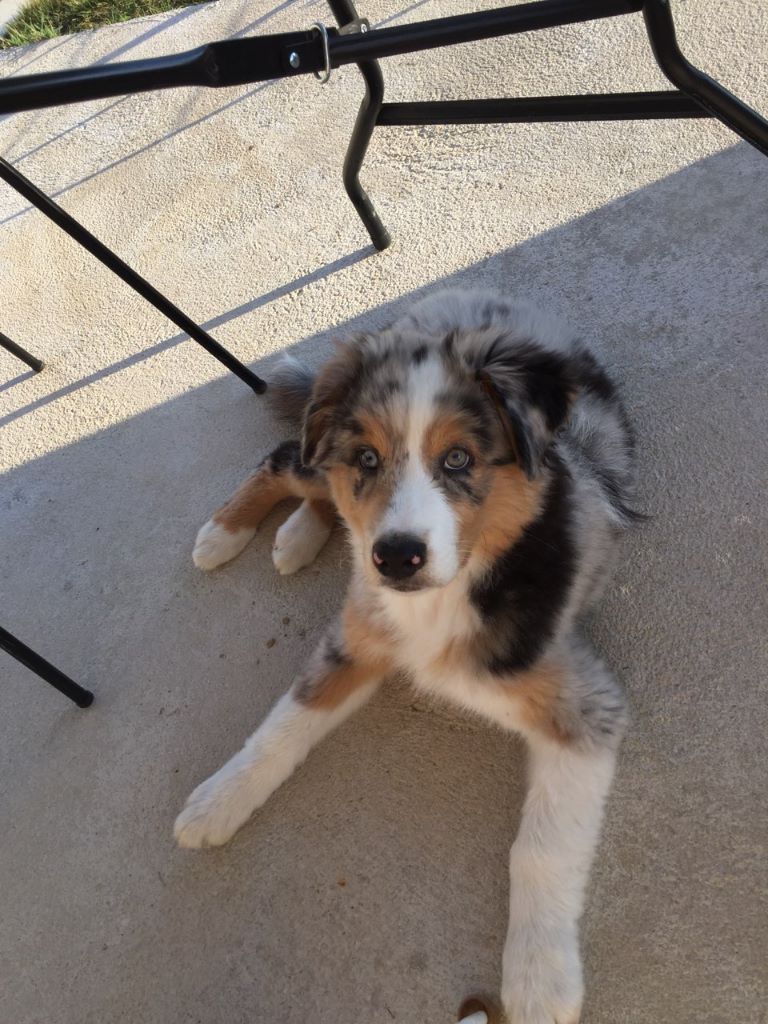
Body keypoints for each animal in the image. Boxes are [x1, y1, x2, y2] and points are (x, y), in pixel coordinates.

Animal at [174, 288, 639, 1024]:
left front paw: (540, 980)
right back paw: (229, 532)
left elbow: (540, 848)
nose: (393, 558)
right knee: (285, 459)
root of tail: (460, 297)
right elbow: (282, 724)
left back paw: (296, 537)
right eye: (368, 459)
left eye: (459, 461)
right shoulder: (357, 633)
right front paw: (218, 801)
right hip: (318, 447)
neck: (448, 594)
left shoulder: (587, 705)